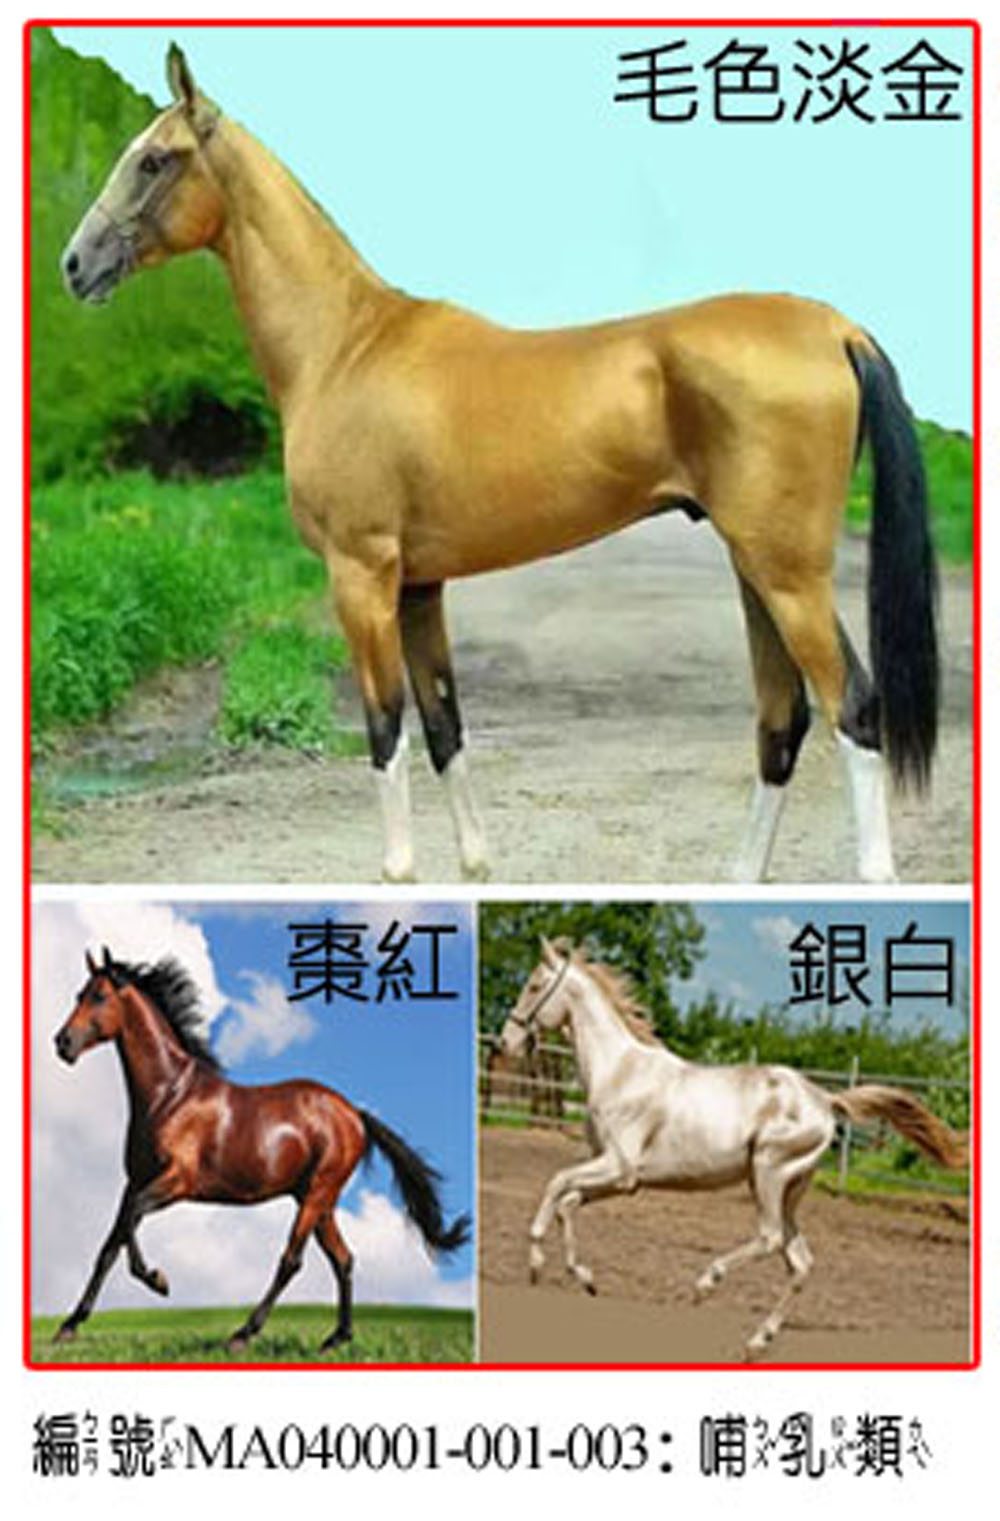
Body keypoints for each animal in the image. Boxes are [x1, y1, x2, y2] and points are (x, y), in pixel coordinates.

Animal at [52, 947, 469, 1354]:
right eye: (78, 995)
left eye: (99, 996)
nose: (62, 1043)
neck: (168, 1096)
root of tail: (355, 1115)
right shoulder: (134, 1182)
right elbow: (111, 1243)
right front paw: (68, 1327)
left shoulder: (176, 1181)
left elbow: (129, 1226)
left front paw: (158, 1280)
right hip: (319, 1200)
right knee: (343, 1259)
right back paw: (336, 1338)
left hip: (316, 1194)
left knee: (292, 1260)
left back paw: (243, 1334)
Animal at [60, 44, 939, 885]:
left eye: (154, 159)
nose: (75, 264)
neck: (343, 348)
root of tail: (836, 328)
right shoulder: (418, 586)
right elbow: (444, 725)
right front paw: (475, 867)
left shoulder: (361, 575)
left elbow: (385, 727)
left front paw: (397, 873)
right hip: (757, 569)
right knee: (783, 718)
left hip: (788, 574)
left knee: (853, 708)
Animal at [500, 938, 967, 1359]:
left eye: (534, 985)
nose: (502, 1043)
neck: (620, 1072)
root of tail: (824, 1099)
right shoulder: (624, 1180)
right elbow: (568, 1202)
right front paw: (585, 1278)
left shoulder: (619, 1166)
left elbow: (556, 1184)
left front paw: (536, 1265)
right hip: (788, 1190)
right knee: (799, 1261)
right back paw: (756, 1343)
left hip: (768, 1173)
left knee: (770, 1238)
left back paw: (705, 1284)